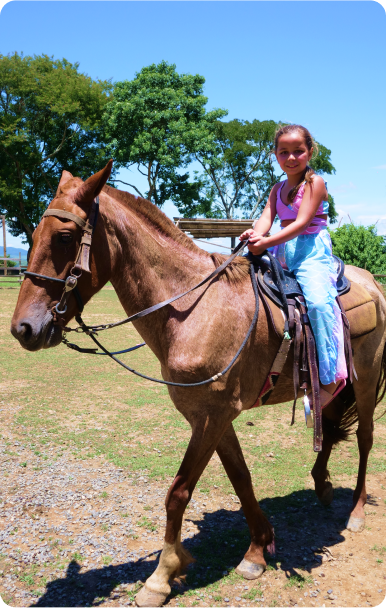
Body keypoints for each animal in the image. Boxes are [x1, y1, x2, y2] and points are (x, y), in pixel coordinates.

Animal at [9, 162, 386, 608]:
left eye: (65, 237)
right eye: (32, 236)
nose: (23, 329)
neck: (193, 310)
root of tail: (372, 283)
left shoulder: (214, 415)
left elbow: (178, 492)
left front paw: (161, 575)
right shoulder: (210, 415)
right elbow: (241, 478)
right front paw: (259, 548)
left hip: (366, 382)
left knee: (365, 438)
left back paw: (356, 511)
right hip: (329, 384)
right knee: (327, 428)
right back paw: (323, 485)